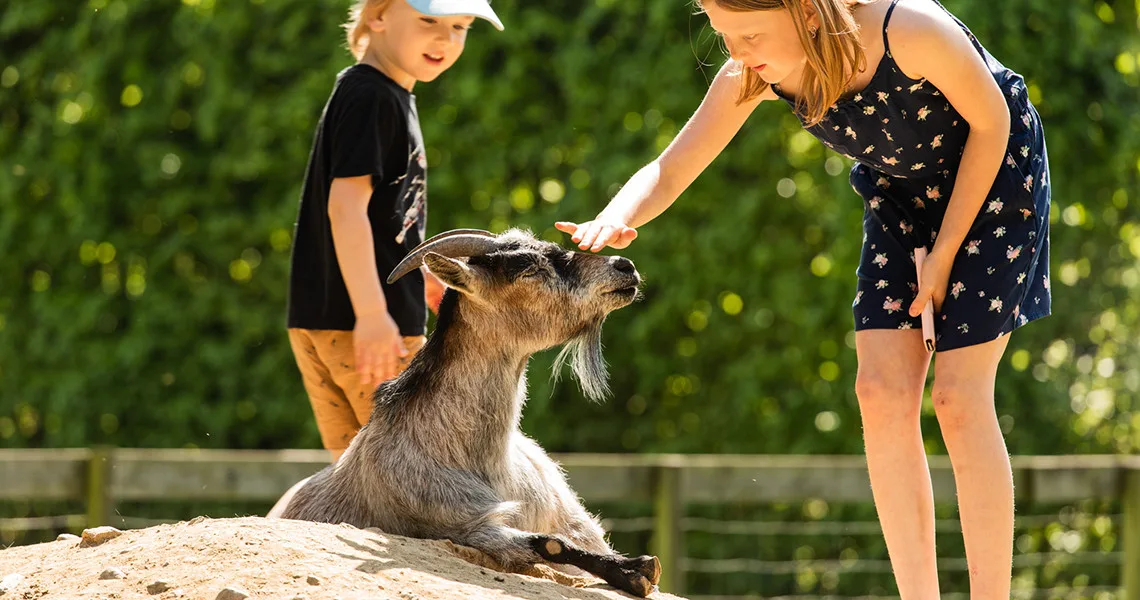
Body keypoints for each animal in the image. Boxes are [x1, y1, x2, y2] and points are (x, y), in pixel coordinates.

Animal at [267, 229, 661, 597]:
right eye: (529, 270)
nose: (624, 266)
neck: (478, 460)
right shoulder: (458, 524)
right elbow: (548, 543)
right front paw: (636, 570)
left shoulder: (569, 514)